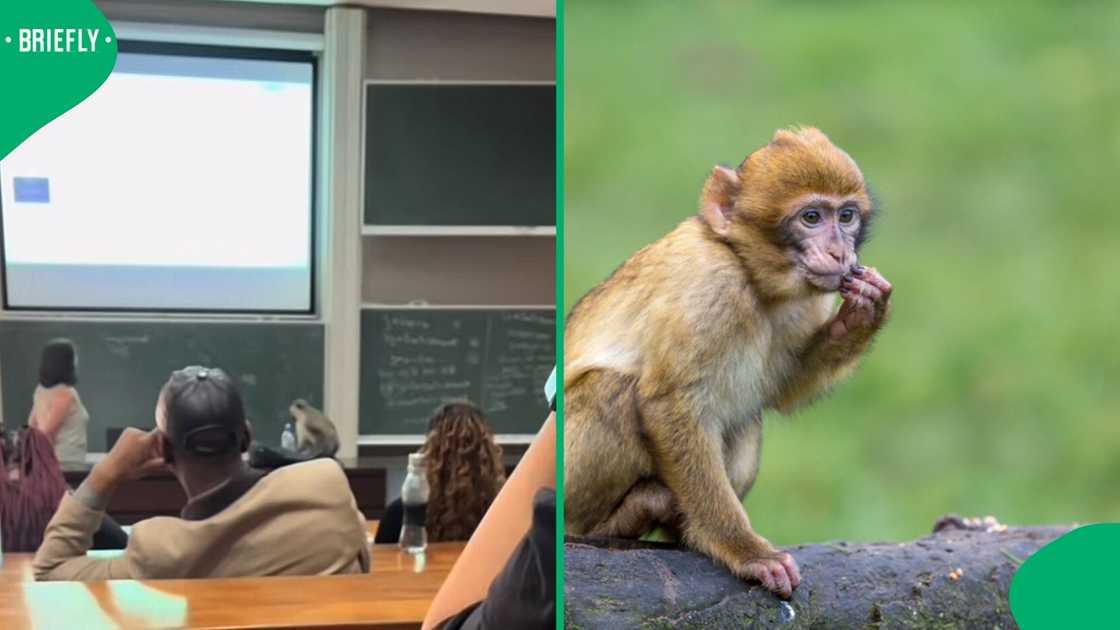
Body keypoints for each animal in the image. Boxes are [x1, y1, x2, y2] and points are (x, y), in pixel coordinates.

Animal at [564, 124, 896, 596]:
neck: (748, 270)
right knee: (612, 389)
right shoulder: (710, 289)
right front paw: (744, 549)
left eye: (846, 216)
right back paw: (617, 524)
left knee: (745, 414)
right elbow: (670, 404)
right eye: (811, 217)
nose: (839, 253)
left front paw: (864, 313)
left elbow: (780, 391)